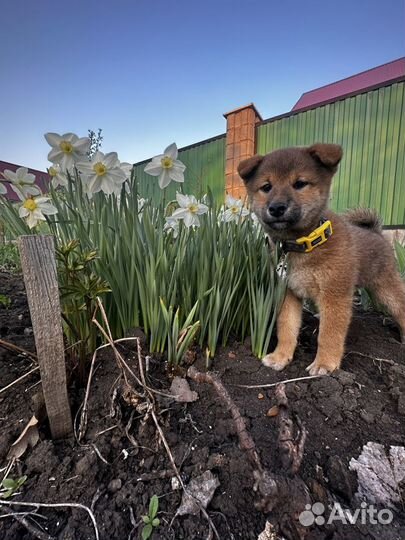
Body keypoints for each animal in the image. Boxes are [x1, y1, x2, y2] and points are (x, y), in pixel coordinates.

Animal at [237, 143, 404, 376]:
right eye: (266, 187)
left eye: (300, 183)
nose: (276, 207)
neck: (303, 245)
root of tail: (376, 232)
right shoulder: (288, 293)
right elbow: (286, 328)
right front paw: (281, 356)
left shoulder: (334, 296)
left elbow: (329, 334)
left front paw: (325, 363)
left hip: (386, 289)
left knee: (401, 308)